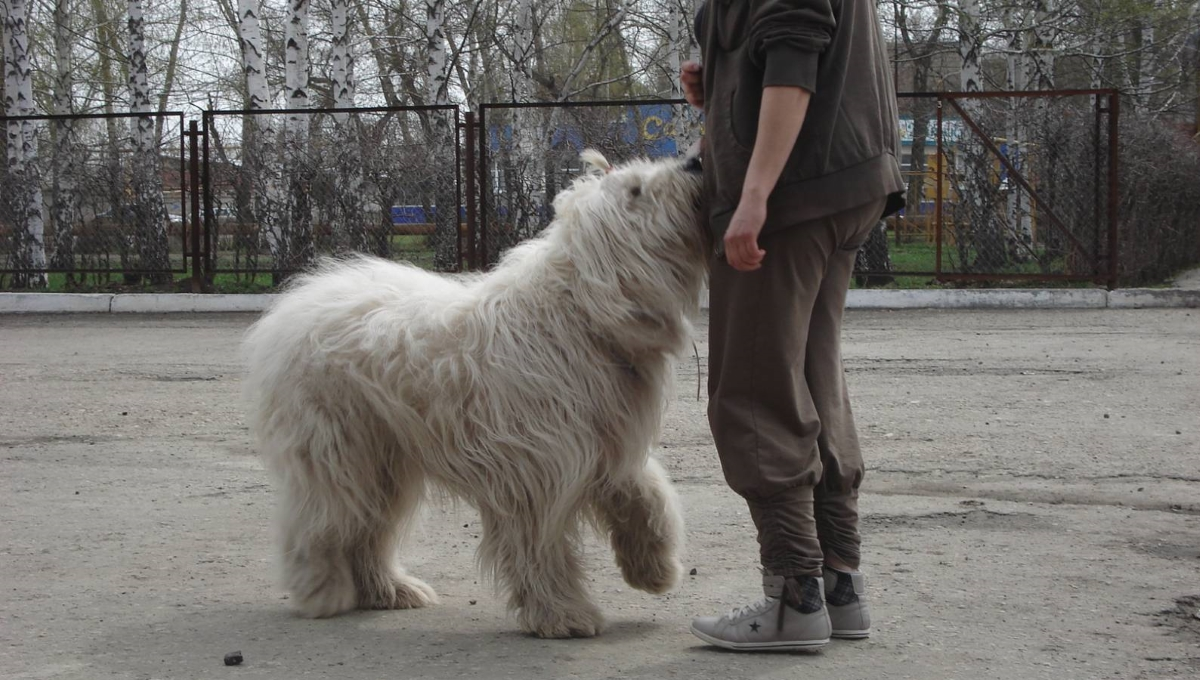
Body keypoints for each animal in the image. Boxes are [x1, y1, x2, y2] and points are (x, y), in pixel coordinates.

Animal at [246, 150, 710, 638]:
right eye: (636, 190)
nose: (696, 162)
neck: (579, 317)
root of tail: (295, 304)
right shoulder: (538, 466)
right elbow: (539, 544)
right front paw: (562, 614)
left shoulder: (605, 444)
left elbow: (646, 492)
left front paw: (655, 567)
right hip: (338, 445)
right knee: (322, 517)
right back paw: (322, 589)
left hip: (386, 458)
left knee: (370, 525)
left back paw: (389, 589)